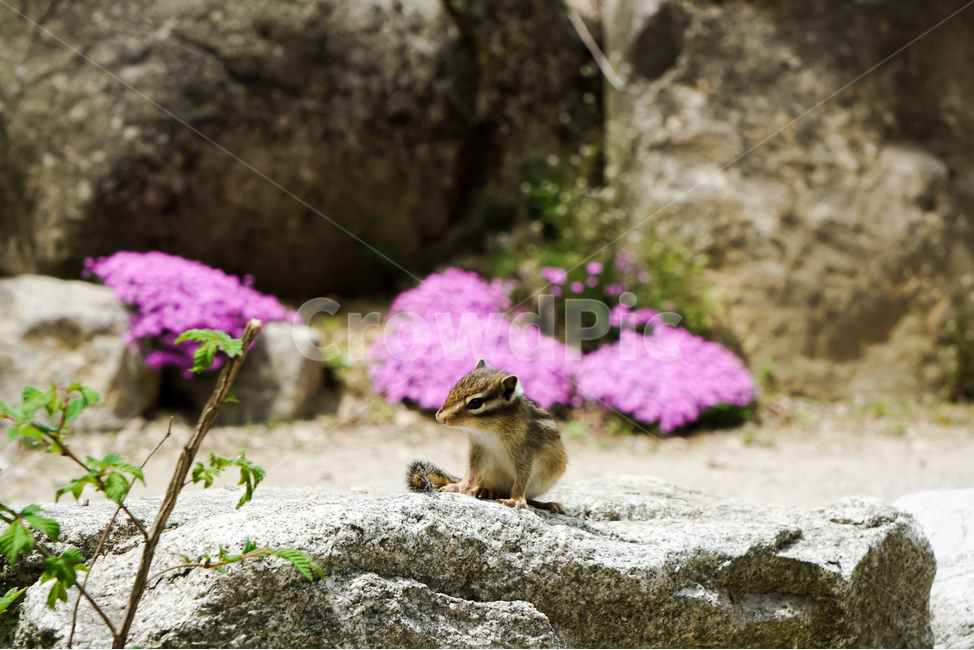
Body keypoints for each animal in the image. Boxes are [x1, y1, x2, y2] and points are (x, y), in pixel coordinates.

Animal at [406, 359, 567, 515]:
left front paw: (516, 500)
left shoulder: (525, 452)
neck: (489, 432)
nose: (440, 417)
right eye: (453, 389)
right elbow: (470, 472)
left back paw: (547, 504)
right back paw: (485, 490)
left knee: (529, 498)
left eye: (475, 403)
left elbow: (521, 480)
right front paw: (458, 486)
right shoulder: (478, 449)